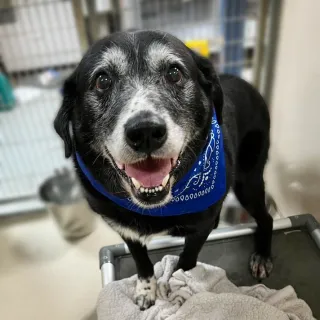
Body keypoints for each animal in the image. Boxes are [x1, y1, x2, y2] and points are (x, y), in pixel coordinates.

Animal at [54, 30, 272, 310]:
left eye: (174, 73)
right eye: (102, 80)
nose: (145, 132)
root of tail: (248, 84)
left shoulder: (198, 229)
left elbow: (187, 260)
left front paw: (178, 285)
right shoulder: (126, 230)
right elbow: (142, 262)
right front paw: (147, 289)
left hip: (248, 181)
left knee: (266, 217)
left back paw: (263, 255)